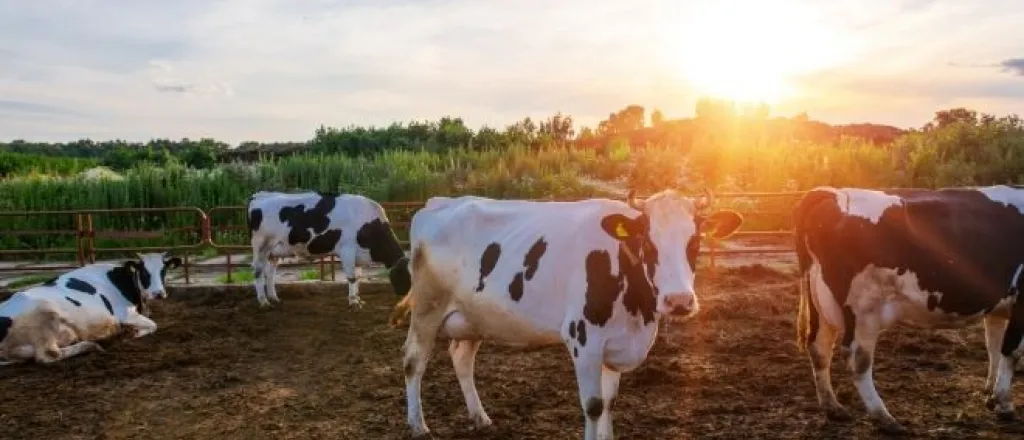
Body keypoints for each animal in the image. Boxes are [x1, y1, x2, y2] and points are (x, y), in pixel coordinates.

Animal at [0, 252, 182, 366]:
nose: (158, 293)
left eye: (163, 271)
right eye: (144, 272)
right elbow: (153, 325)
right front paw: (133, 333)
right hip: (45, 316)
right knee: (49, 355)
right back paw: (91, 345)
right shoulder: (124, 314)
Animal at [245, 190, 405, 306]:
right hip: (261, 246)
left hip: (273, 251)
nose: (405, 297)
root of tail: (260, 195)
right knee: (258, 271)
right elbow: (352, 277)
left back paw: (274, 298)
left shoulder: (359, 255)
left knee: (270, 273)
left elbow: (358, 277)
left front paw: (358, 298)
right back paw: (263, 301)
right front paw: (353, 302)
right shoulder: (347, 250)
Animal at [387, 190, 741, 440]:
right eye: (648, 243)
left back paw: (480, 418)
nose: (679, 301)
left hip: (473, 316)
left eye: (695, 241)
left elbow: (610, 401)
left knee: (461, 359)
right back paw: (418, 425)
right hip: (427, 308)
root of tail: (438, 203)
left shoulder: (615, 343)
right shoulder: (584, 340)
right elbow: (593, 405)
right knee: (413, 360)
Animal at [794, 185, 1024, 433]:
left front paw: (991, 395)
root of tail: (835, 193)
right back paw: (883, 417)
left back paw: (833, 408)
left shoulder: (997, 307)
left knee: (819, 349)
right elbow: (1011, 351)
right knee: (858, 359)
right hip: (864, 310)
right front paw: (1004, 403)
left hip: (822, 304)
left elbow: (994, 348)